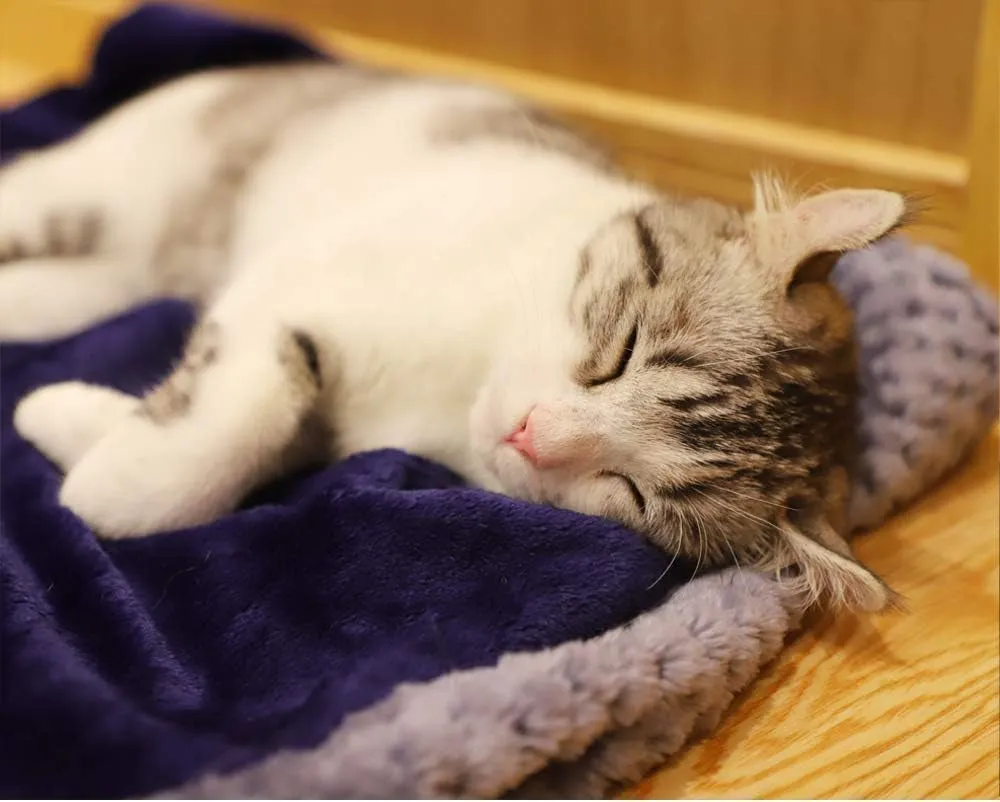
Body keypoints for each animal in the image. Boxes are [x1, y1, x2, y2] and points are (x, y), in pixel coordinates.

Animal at [0, 62, 908, 608]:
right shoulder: (296, 277)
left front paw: (79, 427)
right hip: (103, 183)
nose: (532, 434)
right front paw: (101, 475)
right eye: (621, 353)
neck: (457, 383)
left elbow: (244, 434)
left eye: (633, 491)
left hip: (116, 272)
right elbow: (234, 422)